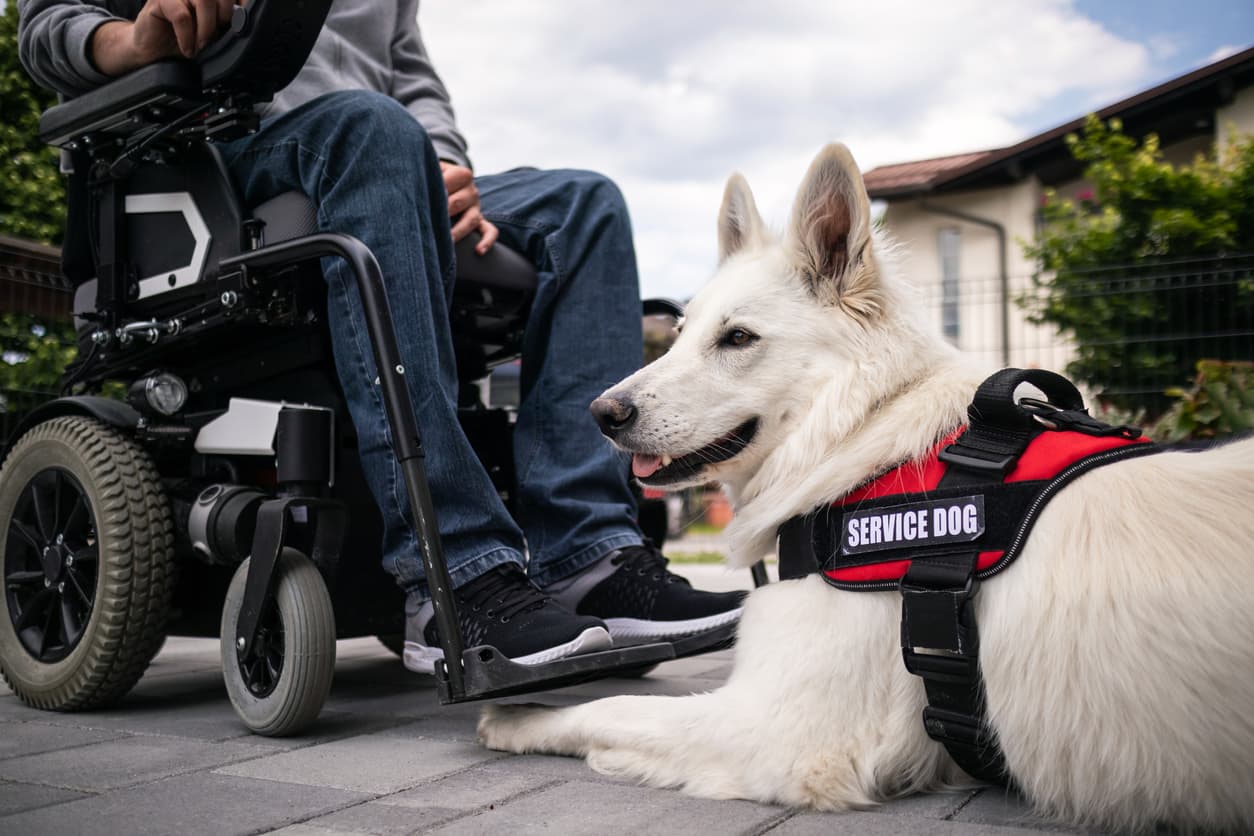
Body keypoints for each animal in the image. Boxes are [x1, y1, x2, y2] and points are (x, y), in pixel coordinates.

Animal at [476, 145, 1254, 836]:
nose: (601, 414)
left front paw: (521, 718)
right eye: (682, 332)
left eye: (737, 338)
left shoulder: (773, 730)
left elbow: (608, 707)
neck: (861, 438)